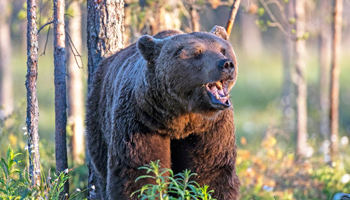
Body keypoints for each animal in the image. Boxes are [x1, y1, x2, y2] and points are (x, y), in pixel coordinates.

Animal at [87, 25, 241, 199]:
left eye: (223, 50)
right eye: (197, 53)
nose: (226, 64)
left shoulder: (212, 127)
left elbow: (212, 169)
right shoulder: (141, 121)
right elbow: (139, 170)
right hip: (98, 117)